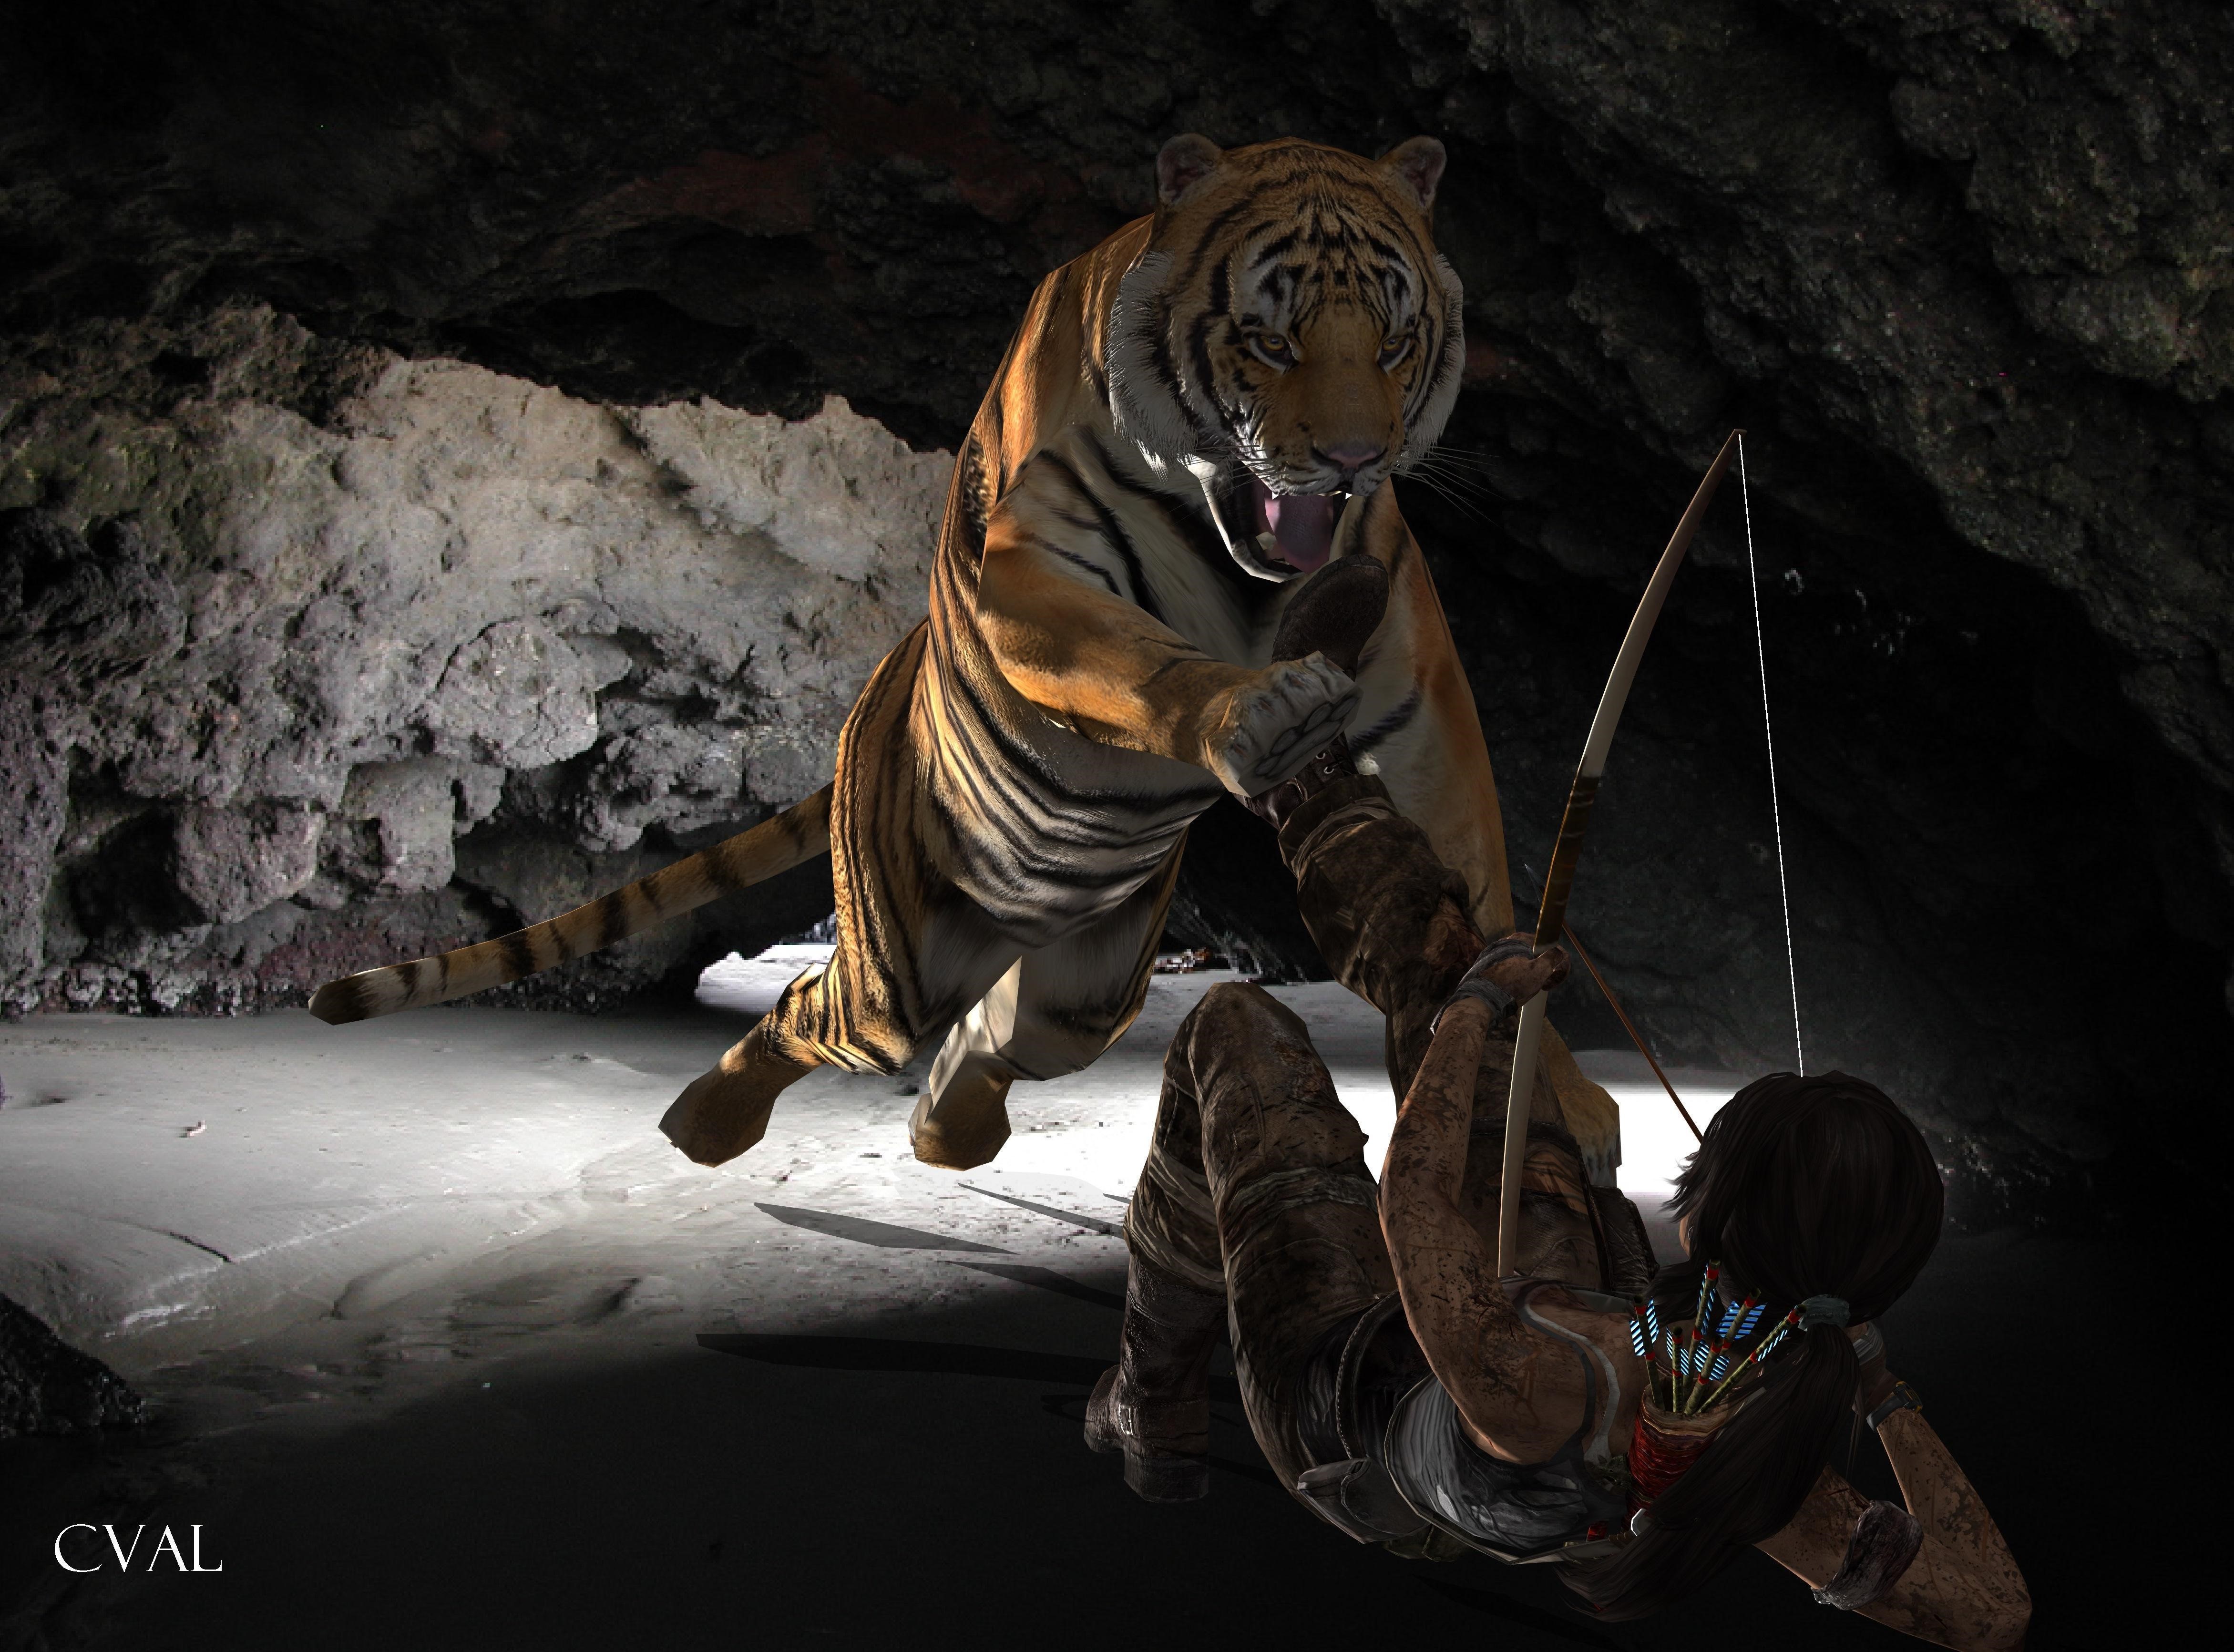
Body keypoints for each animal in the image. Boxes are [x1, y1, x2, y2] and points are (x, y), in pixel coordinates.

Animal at [311, 133, 1622, 1182]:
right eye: (1270, 335)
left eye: (1394, 340)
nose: (1353, 460)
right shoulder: (1036, 581)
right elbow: (1145, 662)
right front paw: (1249, 712)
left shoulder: (1412, 683)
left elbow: (1477, 867)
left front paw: (1545, 1092)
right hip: (895, 965)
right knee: (811, 1012)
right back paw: (705, 1121)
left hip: (1089, 980)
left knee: (1003, 1035)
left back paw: (947, 1131)